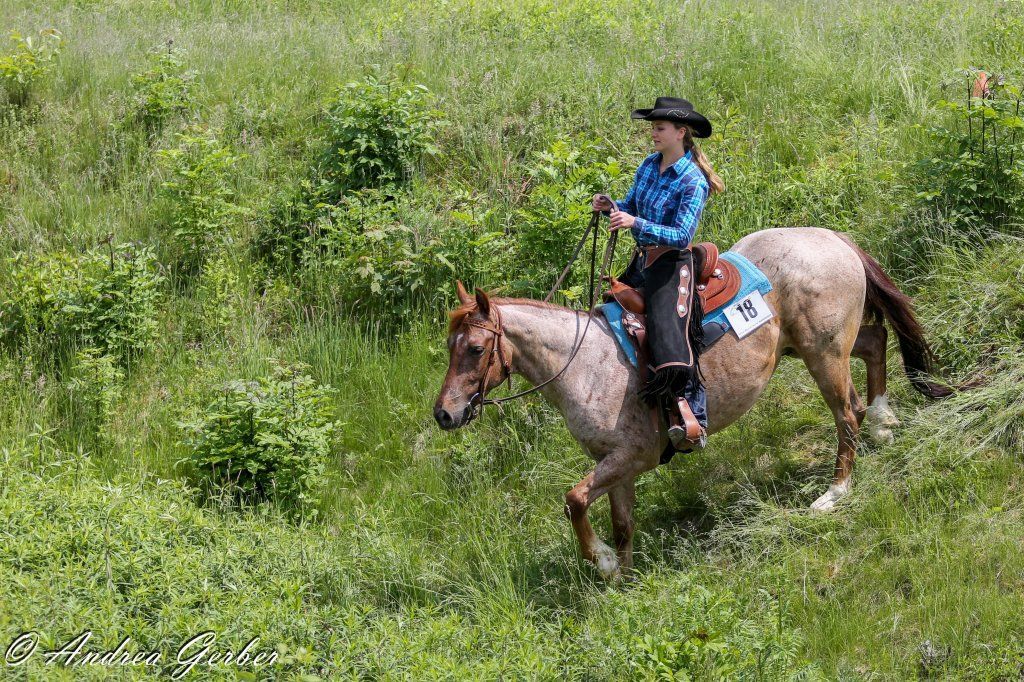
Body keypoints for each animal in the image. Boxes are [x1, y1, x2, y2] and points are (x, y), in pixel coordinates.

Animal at [433, 226, 951, 580]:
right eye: (449, 346)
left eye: (475, 349)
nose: (445, 413)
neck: (586, 362)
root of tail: (833, 238)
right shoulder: (614, 464)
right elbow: (621, 523)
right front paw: (622, 580)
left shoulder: (632, 455)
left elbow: (574, 500)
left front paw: (602, 563)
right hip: (816, 346)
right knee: (876, 341)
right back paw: (884, 421)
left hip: (823, 354)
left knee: (846, 413)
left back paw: (834, 492)